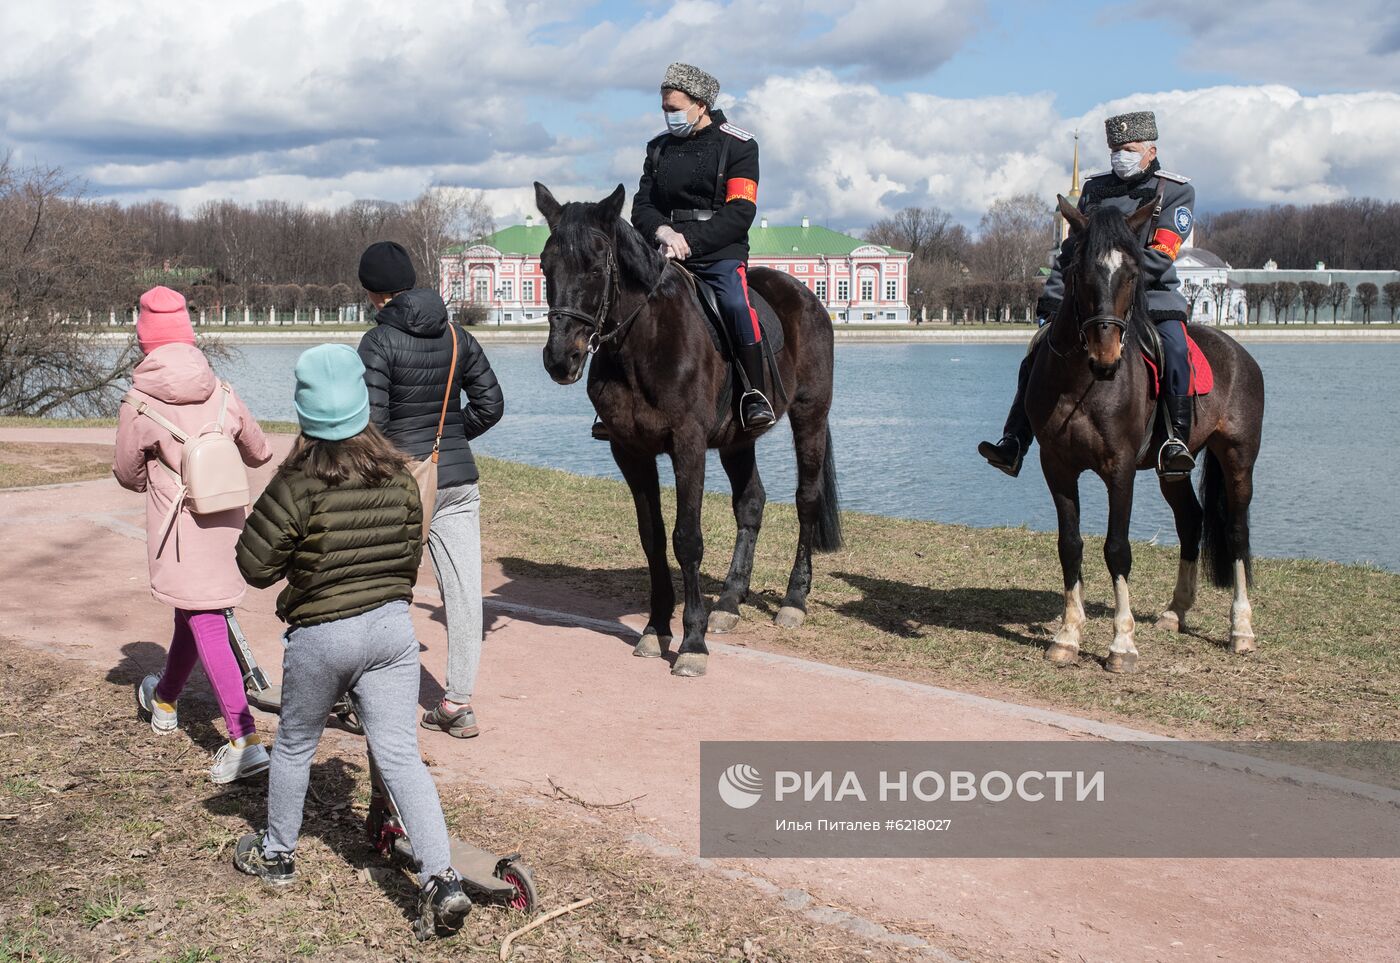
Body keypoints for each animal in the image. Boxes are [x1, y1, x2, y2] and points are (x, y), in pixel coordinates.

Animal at [532, 181, 840, 677]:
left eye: (596, 265)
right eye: (544, 265)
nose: (562, 358)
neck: (643, 339)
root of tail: (805, 295)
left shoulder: (688, 445)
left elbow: (687, 539)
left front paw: (692, 641)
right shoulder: (630, 451)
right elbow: (653, 539)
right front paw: (657, 627)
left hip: (810, 415)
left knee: (806, 501)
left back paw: (794, 600)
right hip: (738, 440)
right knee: (750, 503)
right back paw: (730, 602)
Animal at [1030, 197, 1271, 669]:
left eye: (1133, 274)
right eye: (1077, 270)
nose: (1106, 358)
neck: (1081, 384)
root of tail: (1237, 350)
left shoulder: (1120, 469)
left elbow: (1117, 548)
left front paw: (1122, 643)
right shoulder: (1057, 468)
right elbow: (1070, 545)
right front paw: (1068, 634)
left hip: (1238, 458)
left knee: (1237, 532)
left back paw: (1242, 628)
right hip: (1173, 468)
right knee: (1191, 520)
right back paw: (1176, 611)